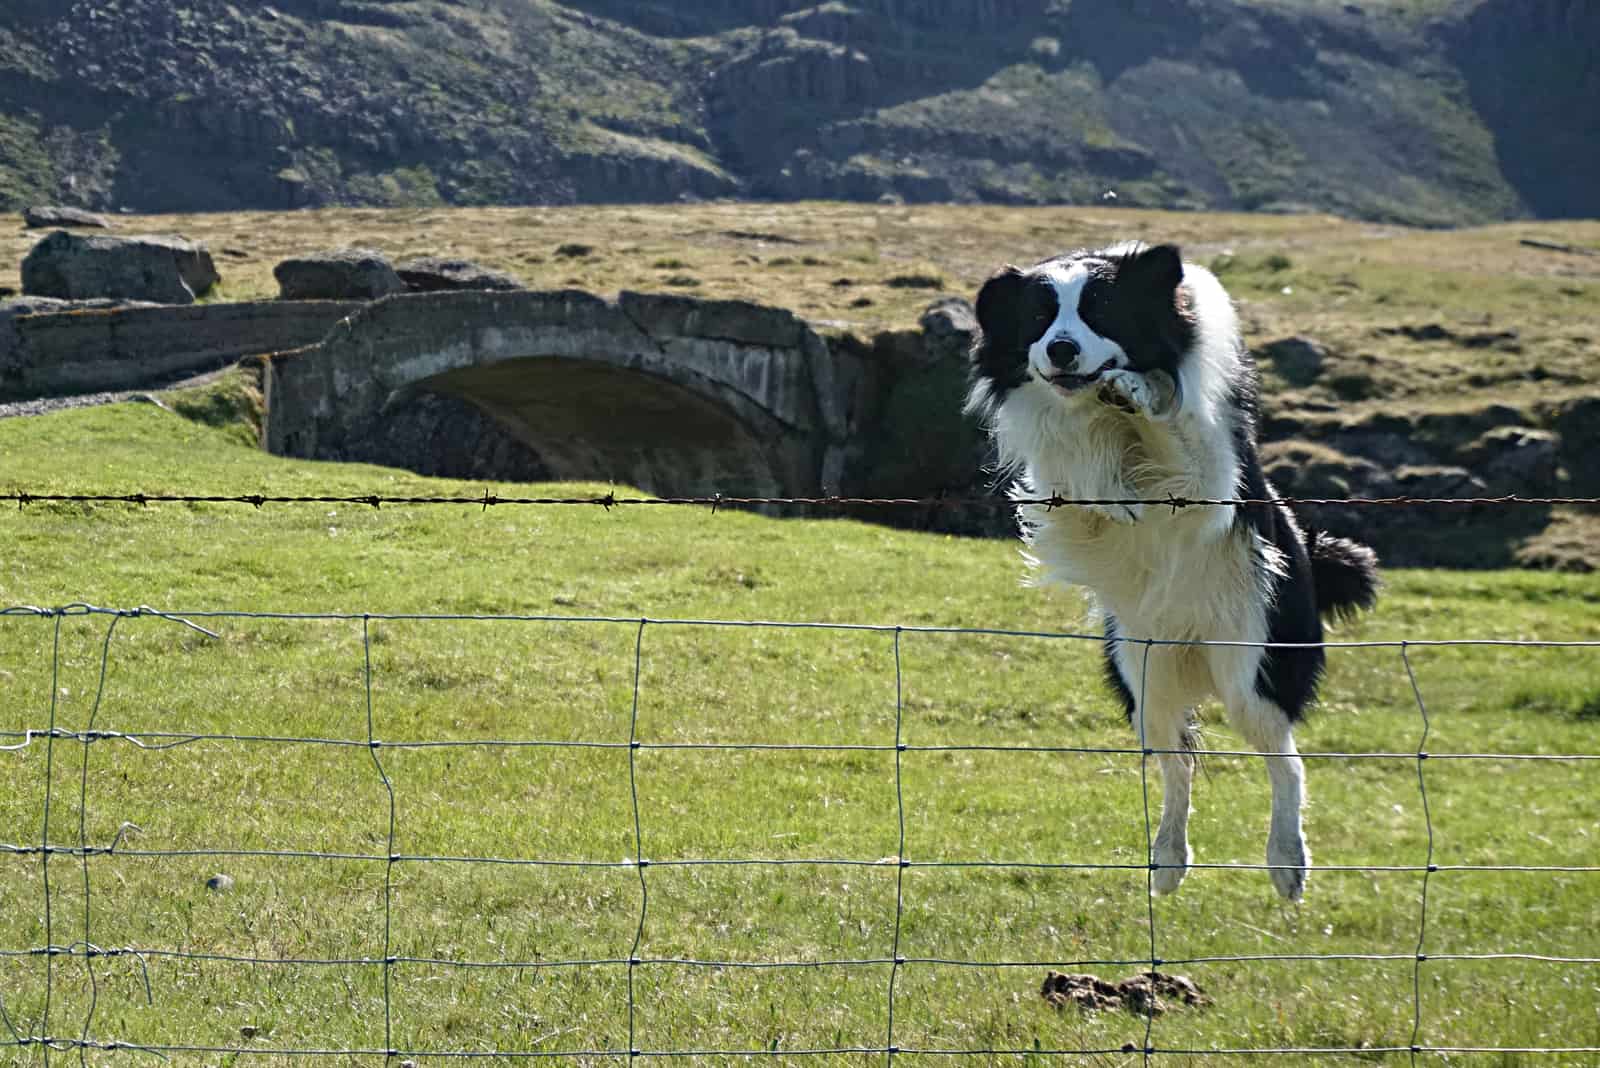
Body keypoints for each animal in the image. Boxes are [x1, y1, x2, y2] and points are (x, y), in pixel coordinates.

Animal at [966, 244, 1382, 901]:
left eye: (1101, 309)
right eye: (1037, 317)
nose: (1061, 350)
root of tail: (1195, 651)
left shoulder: (1210, 470)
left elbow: (1174, 431)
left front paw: (1135, 390)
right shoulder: (1061, 472)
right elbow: (1084, 478)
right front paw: (1115, 488)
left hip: (1253, 656)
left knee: (1283, 758)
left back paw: (1287, 861)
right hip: (1142, 673)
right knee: (1176, 761)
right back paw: (1166, 859)